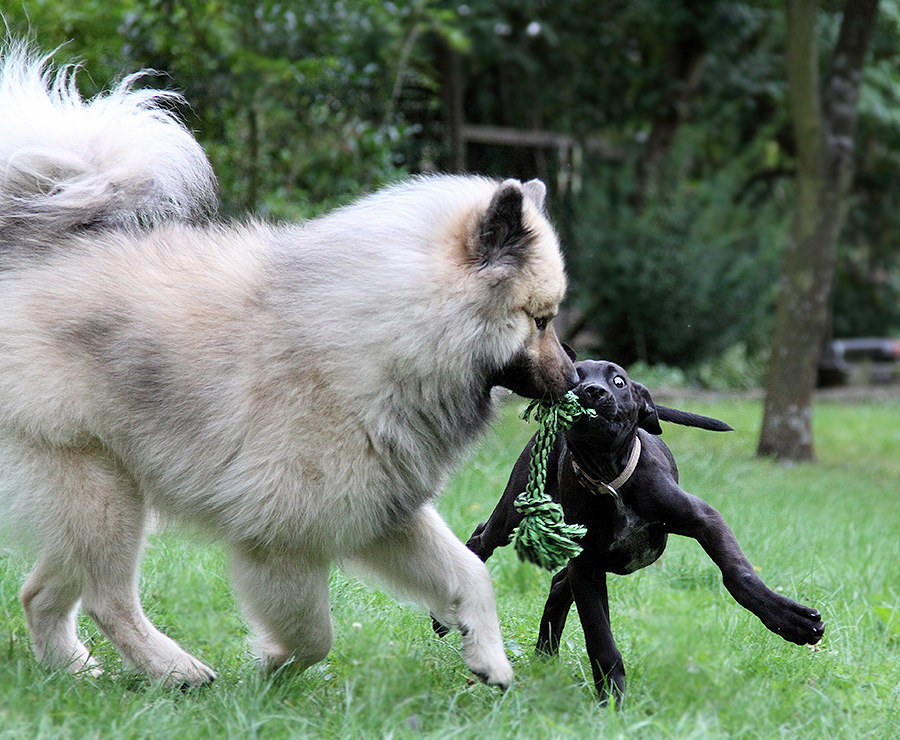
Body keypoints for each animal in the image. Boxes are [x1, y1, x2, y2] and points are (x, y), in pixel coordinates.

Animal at [0, 42, 576, 688]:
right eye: (541, 320)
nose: (576, 381)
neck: (396, 327)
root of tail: (31, 258)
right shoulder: (284, 537)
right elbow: (314, 635)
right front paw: (273, 664)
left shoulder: (387, 512)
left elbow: (472, 575)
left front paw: (489, 657)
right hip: (101, 487)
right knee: (107, 598)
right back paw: (174, 669)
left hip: (104, 493)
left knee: (40, 594)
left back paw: (73, 671)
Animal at [464, 362, 824, 704]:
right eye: (576, 375)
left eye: (618, 381)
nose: (592, 391)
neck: (610, 478)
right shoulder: (587, 567)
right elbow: (601, 640)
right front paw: (612, 701)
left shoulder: (704, 519)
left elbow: (738, 575)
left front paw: (791, 620)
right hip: (517, 509)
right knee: (484, 537)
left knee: (557, 583)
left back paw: (544, 658)